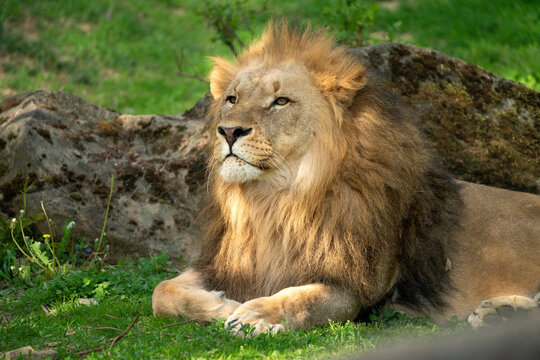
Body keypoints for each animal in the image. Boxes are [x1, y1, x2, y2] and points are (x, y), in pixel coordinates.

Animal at [153, 21, 540, 334]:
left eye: (281, 101)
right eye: (232, 99)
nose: (229, 131)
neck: (275, 199)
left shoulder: (356, 285)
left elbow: (300, 299)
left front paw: (256, 315)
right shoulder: (227, 264)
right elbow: (162, 292)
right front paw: (222, 305)